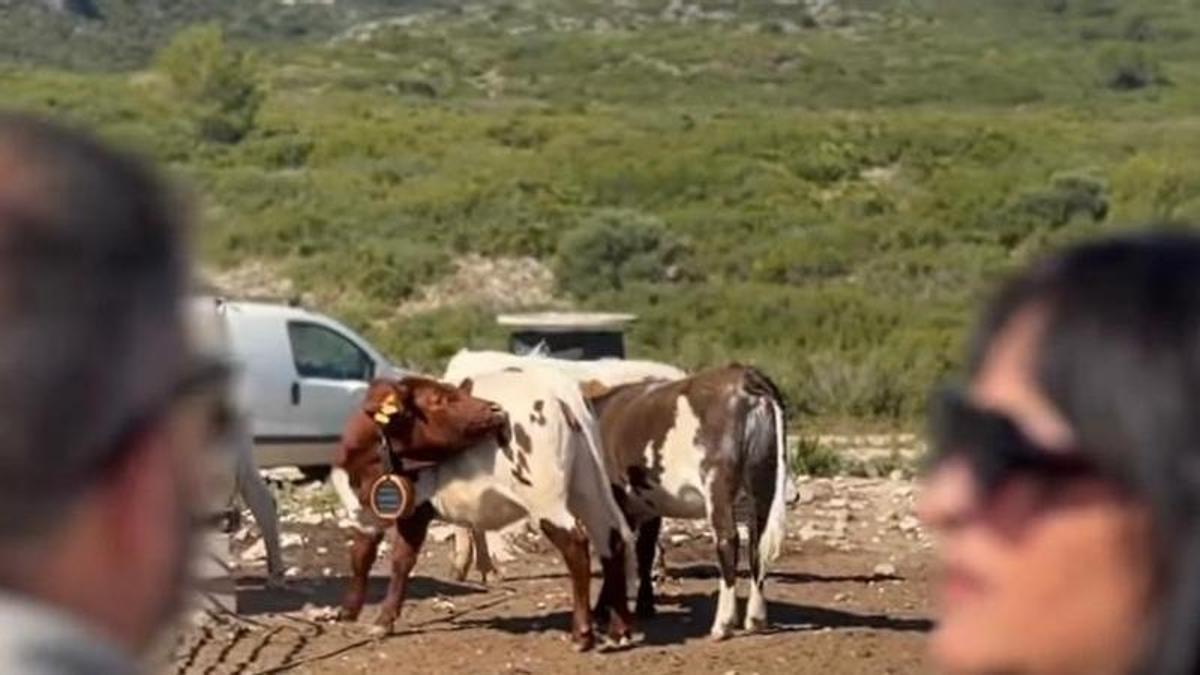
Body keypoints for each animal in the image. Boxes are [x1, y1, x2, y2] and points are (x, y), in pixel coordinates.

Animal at [331, 368, 636, 651]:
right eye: (438, 398)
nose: (494, 409)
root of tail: (558, 389)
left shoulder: (407, 509)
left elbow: (392, 560)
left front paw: (378, 619)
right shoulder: (377, 509)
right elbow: (366, 555)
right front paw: (353, 612)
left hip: (546, 497)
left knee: (576, 545)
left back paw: (582, 634)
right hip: (588, 486)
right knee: (611, 539)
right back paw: (619, 631)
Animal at [587, 365, 789, 640]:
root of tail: (744, 374)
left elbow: (615, 552)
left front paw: (602, 611)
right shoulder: (649, 504)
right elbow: (644, 551)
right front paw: (644, 606)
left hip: (717, 480)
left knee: (728, 540)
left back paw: (722, 624)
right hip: (763, 477)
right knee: (757, 541)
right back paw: (756, 619)